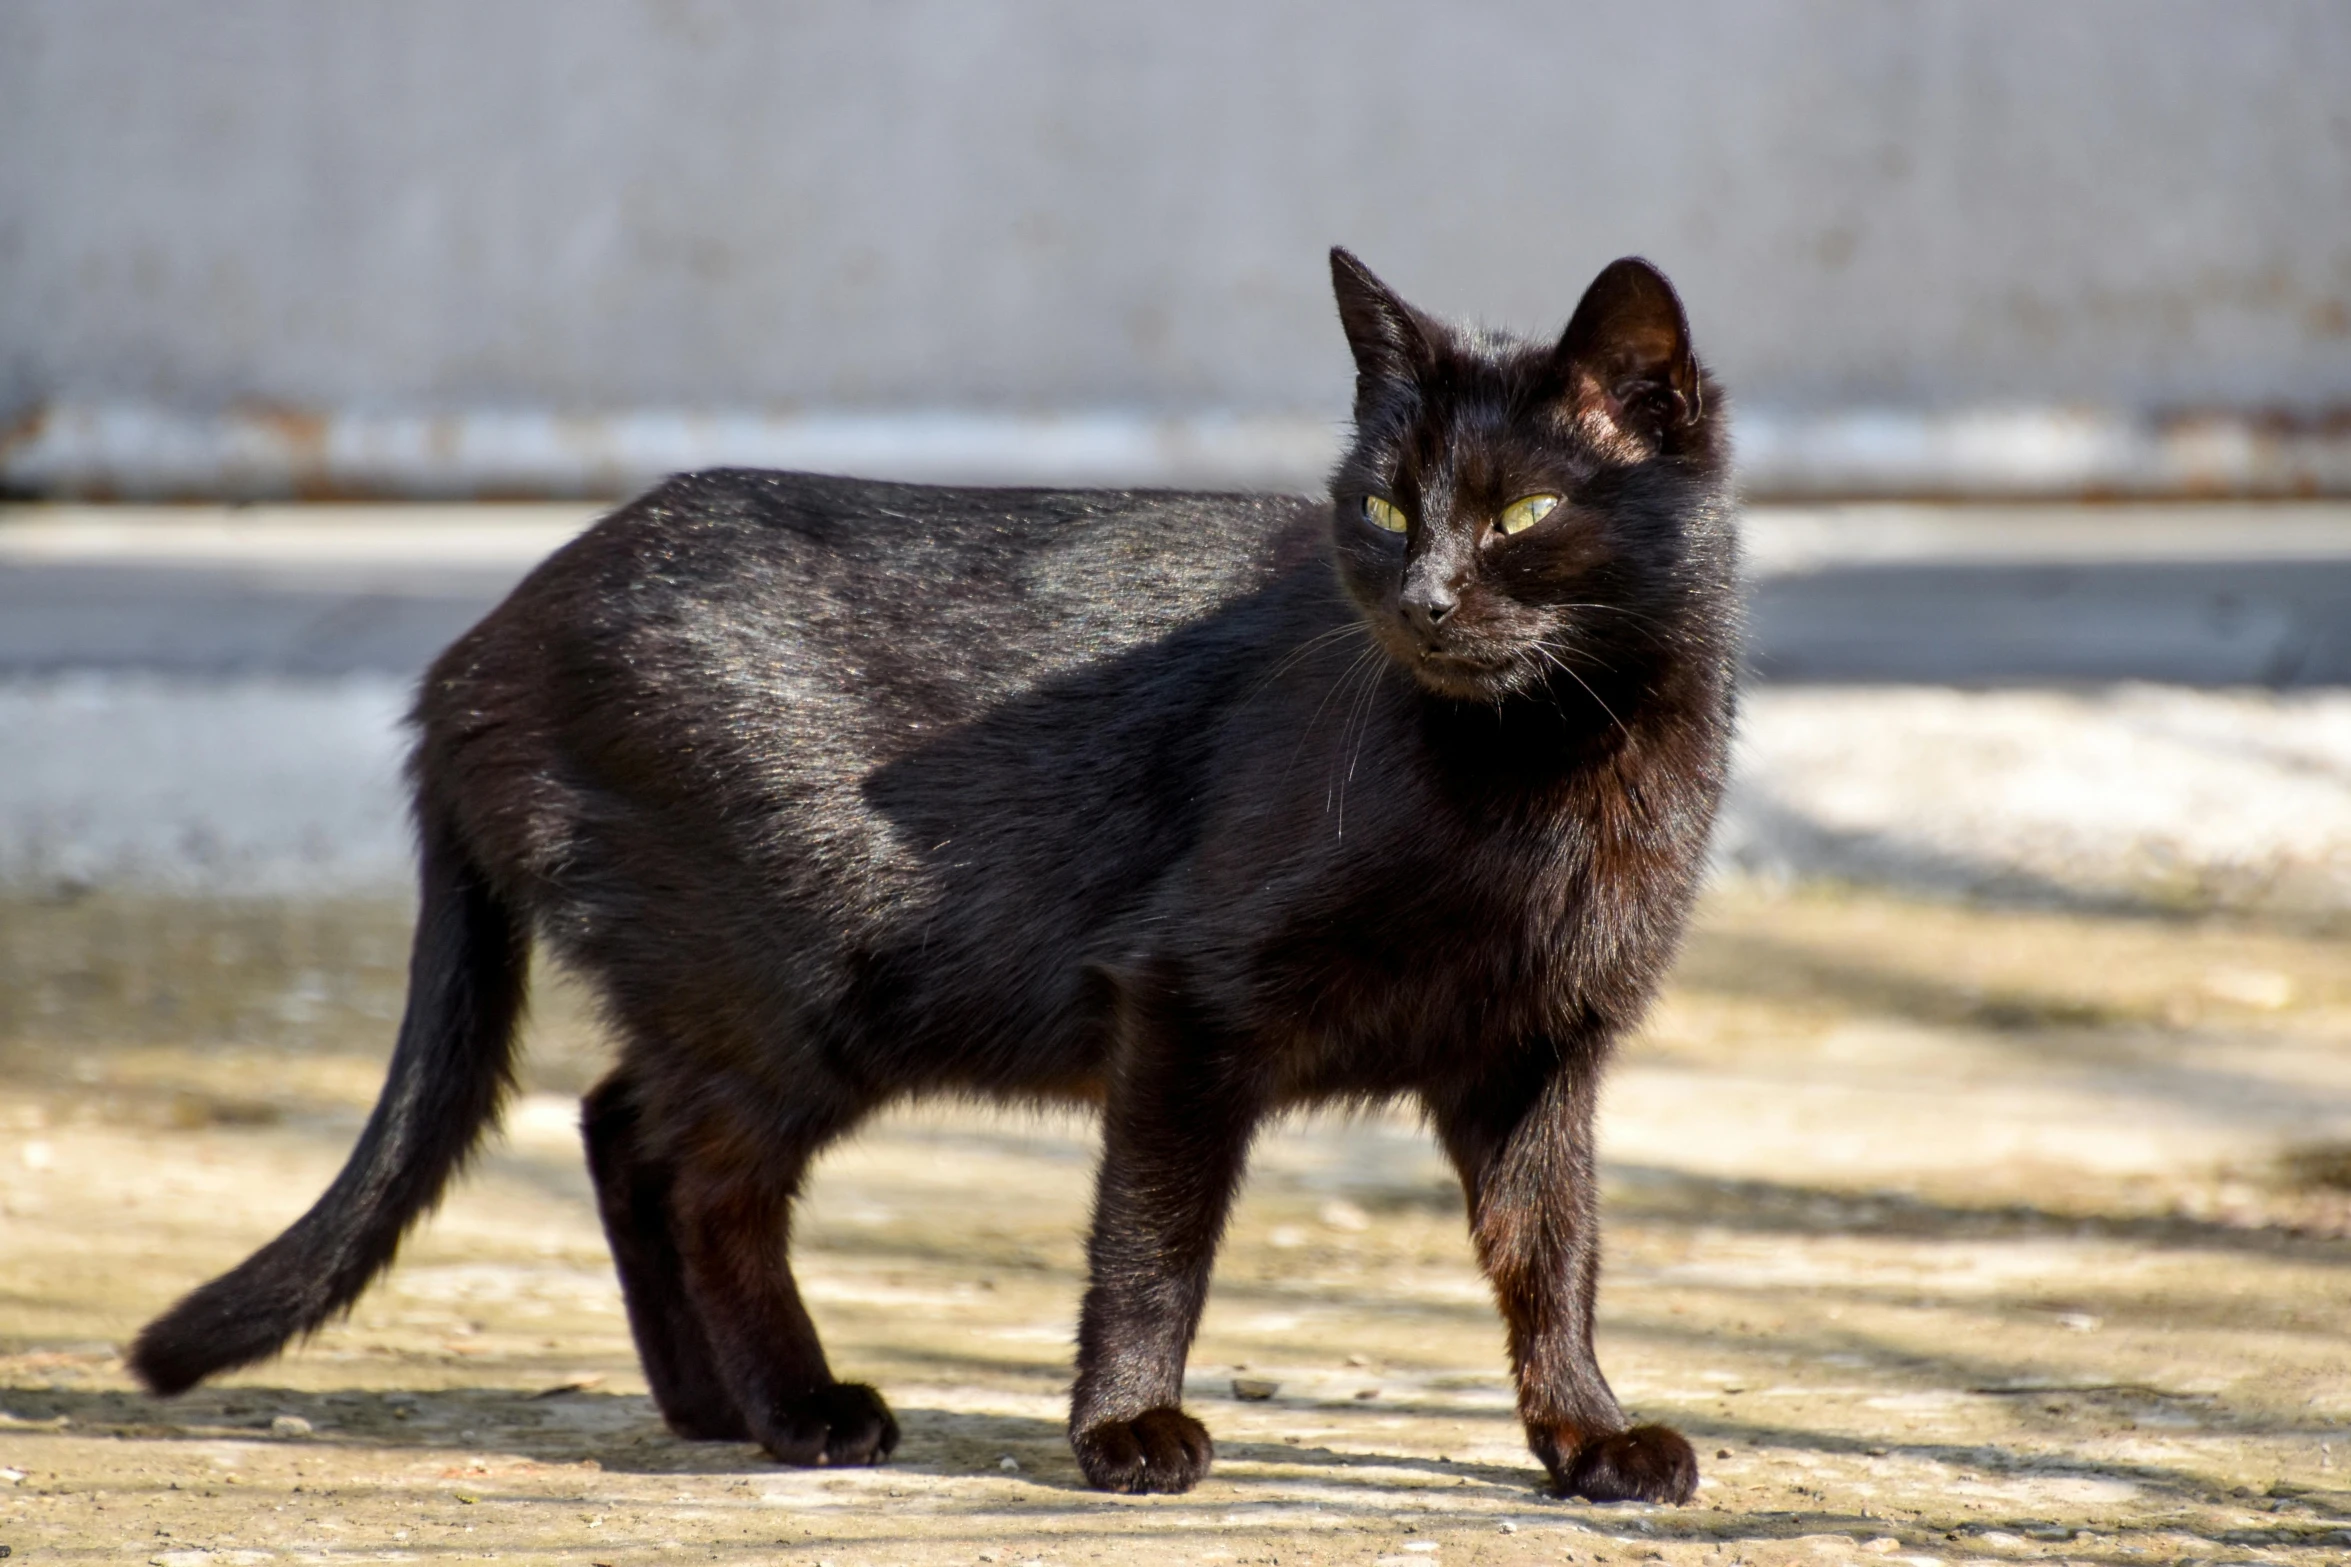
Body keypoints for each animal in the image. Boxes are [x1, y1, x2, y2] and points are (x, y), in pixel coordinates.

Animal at [133, 247, 1749, 1503]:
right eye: (1389, 508)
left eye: (1523, 515)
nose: (1419, 598)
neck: (1539, 773)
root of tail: (479, 647)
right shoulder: (1182, 998)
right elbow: (1152, 1239)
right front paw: (1124, 1429)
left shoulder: (1536, 1053)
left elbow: (1551, 1250)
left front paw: (1585, 1435)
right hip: (793, 992)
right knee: (700, 1174)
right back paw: (801, 1409)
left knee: (618, 1124)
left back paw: (709, 1405)